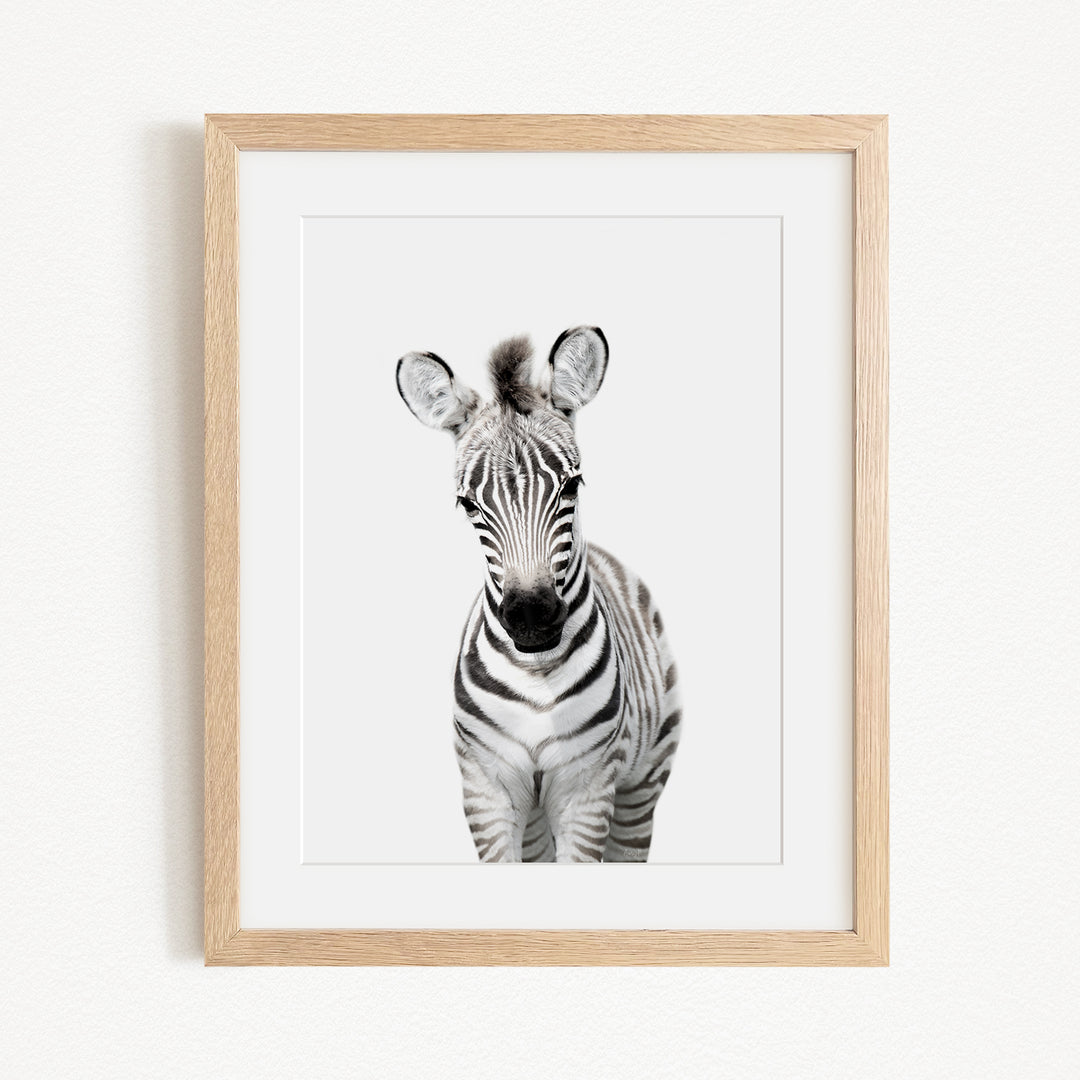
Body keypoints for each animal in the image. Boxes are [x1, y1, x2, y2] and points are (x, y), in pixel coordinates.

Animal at [395, 326, 681, 862]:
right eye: (467, 504)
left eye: (572, 485)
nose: (531, 617)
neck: (536, 675)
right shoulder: (486, 789)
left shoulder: (587, 790)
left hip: (642, 783)